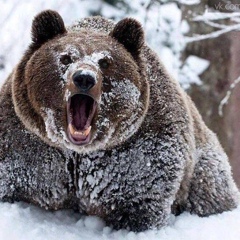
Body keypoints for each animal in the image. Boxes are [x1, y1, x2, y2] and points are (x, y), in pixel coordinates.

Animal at [0, 9, 239, 232]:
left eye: (105, 61)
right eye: (66, 57)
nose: (84, 78)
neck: (80, 152)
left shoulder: (139, 150)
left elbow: (140, 200)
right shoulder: (29, 143)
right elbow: (15, 179)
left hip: (204, 169)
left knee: (209, 193)